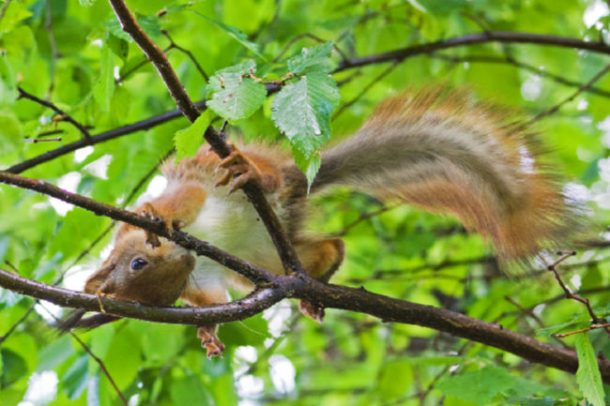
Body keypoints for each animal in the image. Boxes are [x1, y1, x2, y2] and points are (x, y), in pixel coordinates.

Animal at [60, 90, 576, 356]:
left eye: (140, 262)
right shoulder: (202, 277)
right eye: (161, 294)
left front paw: (156, 216)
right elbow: (211, 299)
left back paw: (249, 172)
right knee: (330, 247)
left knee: (259, 180)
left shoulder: (184, 194)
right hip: (266, 253)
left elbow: (178, 201)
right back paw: (314, 285)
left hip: (253, 191)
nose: (182, 254)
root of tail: (297, 183)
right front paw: (208, 332)